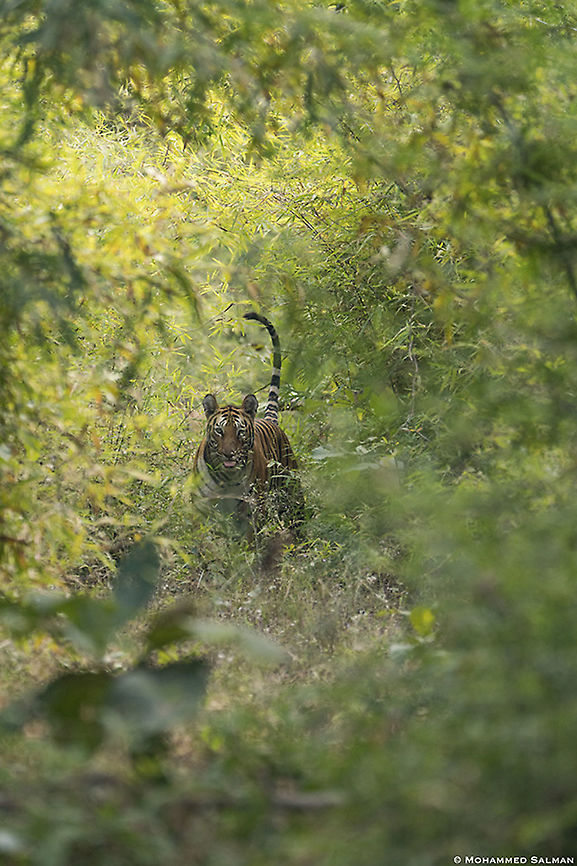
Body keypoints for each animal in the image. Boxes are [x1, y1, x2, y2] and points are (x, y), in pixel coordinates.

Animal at [193, 312, 303, 541]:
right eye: (219, 431)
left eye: (240, 432)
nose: (229, 455)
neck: (226, 478)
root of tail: (270, 420)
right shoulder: (201, 506)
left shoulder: (253, 509)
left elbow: (250, 541)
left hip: (292, 493)